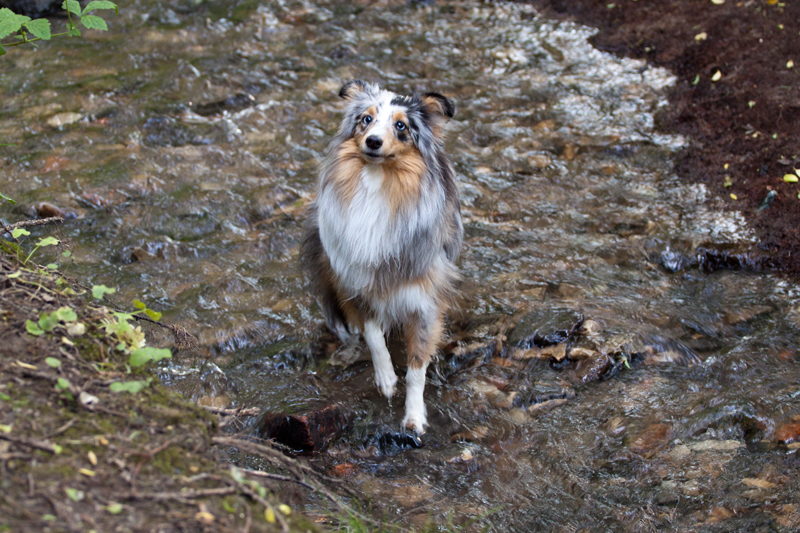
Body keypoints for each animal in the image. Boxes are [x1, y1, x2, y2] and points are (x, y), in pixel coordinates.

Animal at [300, 81, 462, 434]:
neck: (380, 182)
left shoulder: (424, 300)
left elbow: (417, 367)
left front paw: (414, 416)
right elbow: (374, 335)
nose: (373, 141)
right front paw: (386, 379)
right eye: (366, 119)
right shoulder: (358, 282)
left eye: (401, 126)